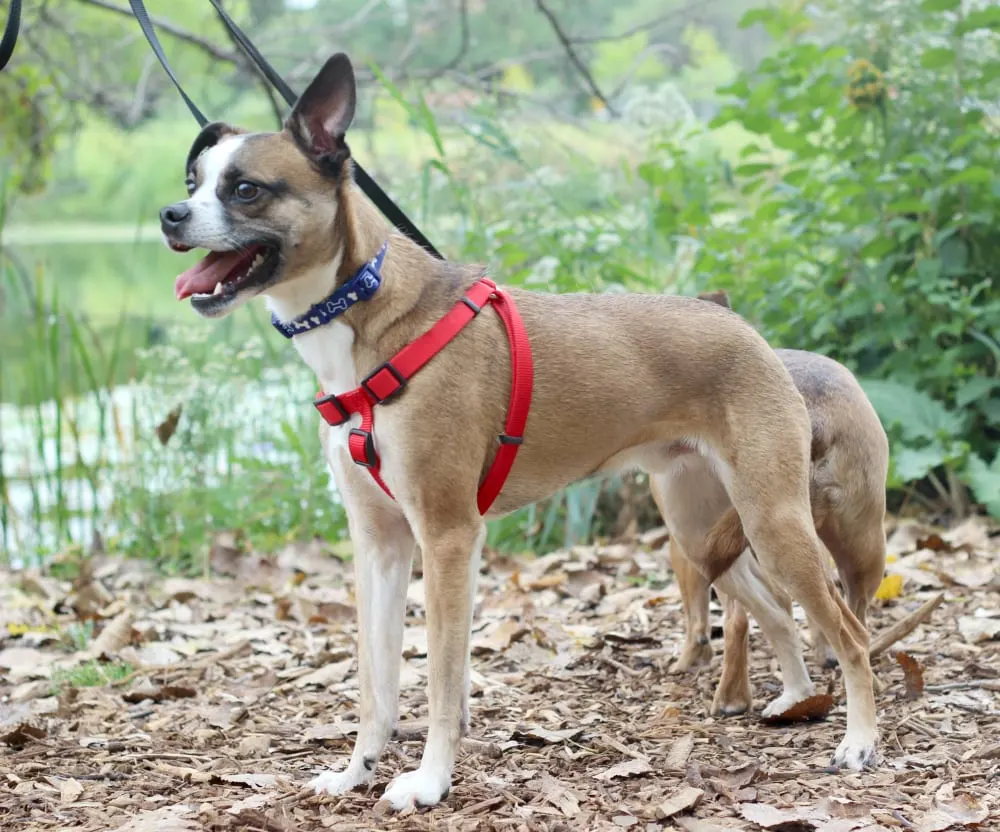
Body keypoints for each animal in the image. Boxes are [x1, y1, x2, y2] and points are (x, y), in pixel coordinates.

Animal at [652, 290, 888, 716]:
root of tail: (813, 413)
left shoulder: (685, 550)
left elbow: (699, 618)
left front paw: (688, 660)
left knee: (741, 620)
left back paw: (731, 697)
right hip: (858, 542)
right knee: (852, 612)